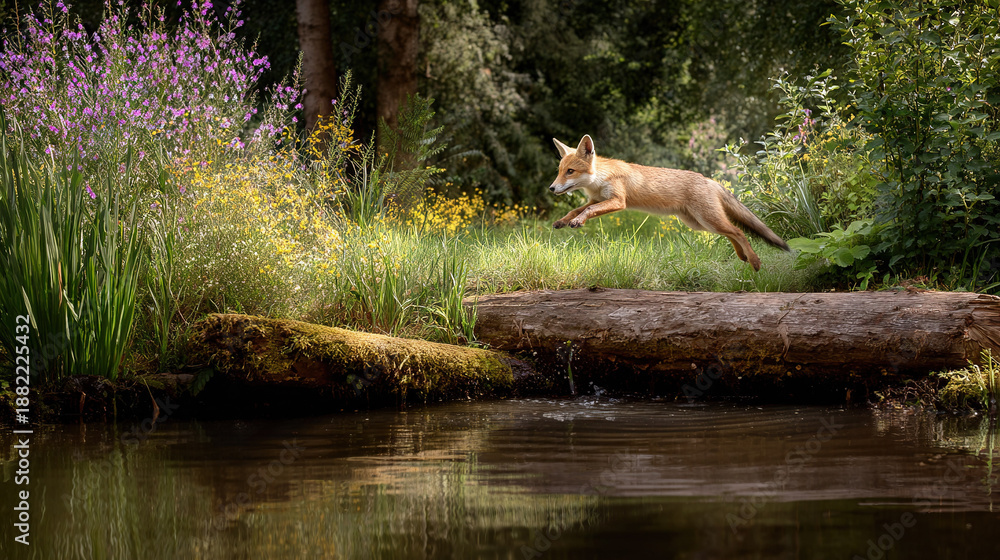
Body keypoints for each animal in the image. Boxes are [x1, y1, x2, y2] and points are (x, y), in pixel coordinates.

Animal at [548, 134, 789, 271]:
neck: (599, 180)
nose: (551, 188)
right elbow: (576, 209)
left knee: (739, 232)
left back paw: (754, 261)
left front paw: (578, 221)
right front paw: (563, 221)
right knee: (733, 233)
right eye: (559, 171)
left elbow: (588, 210)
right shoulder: (599, 198)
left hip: (707, 220)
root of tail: (709, 180)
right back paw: (743, 256)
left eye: (570, 172)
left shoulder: (617, 201)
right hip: (700, 224)